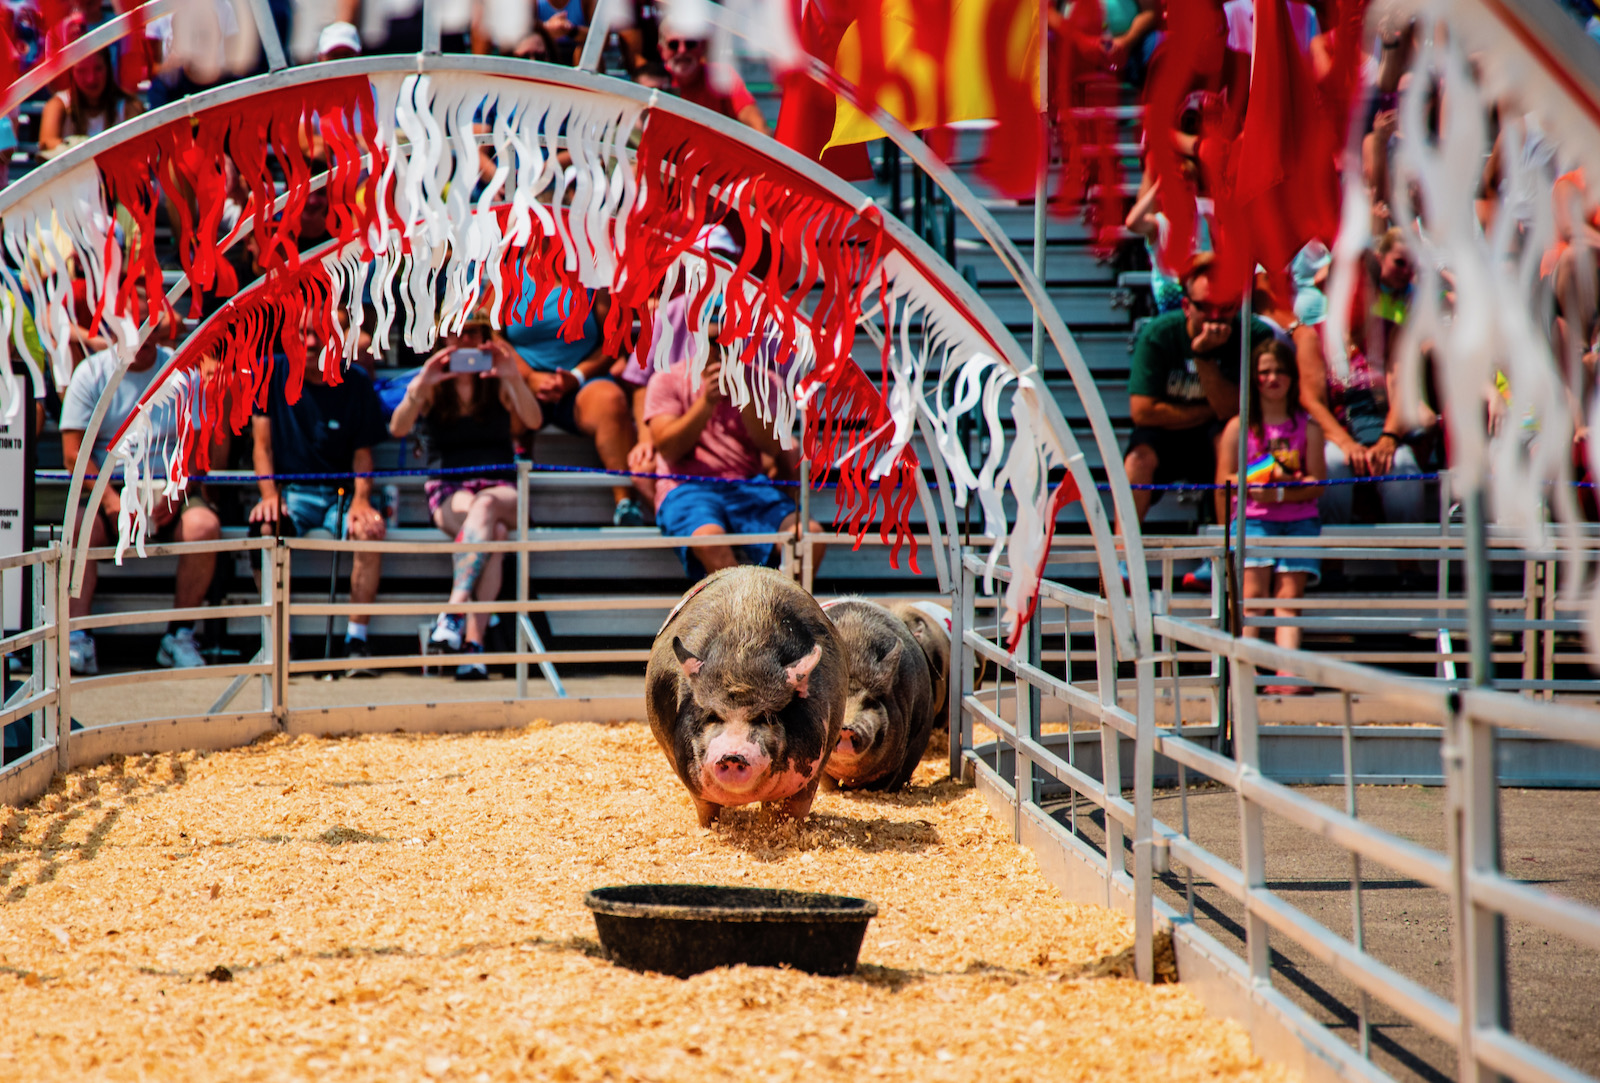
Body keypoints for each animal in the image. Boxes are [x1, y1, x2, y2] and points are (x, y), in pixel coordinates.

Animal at [643, 563, 844, 825]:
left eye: (767, 717)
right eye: (712, 716)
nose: (733, 756)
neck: (742, 655)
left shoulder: (814, 769)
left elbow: (794, 808)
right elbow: (705, 808)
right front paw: (709, 827)